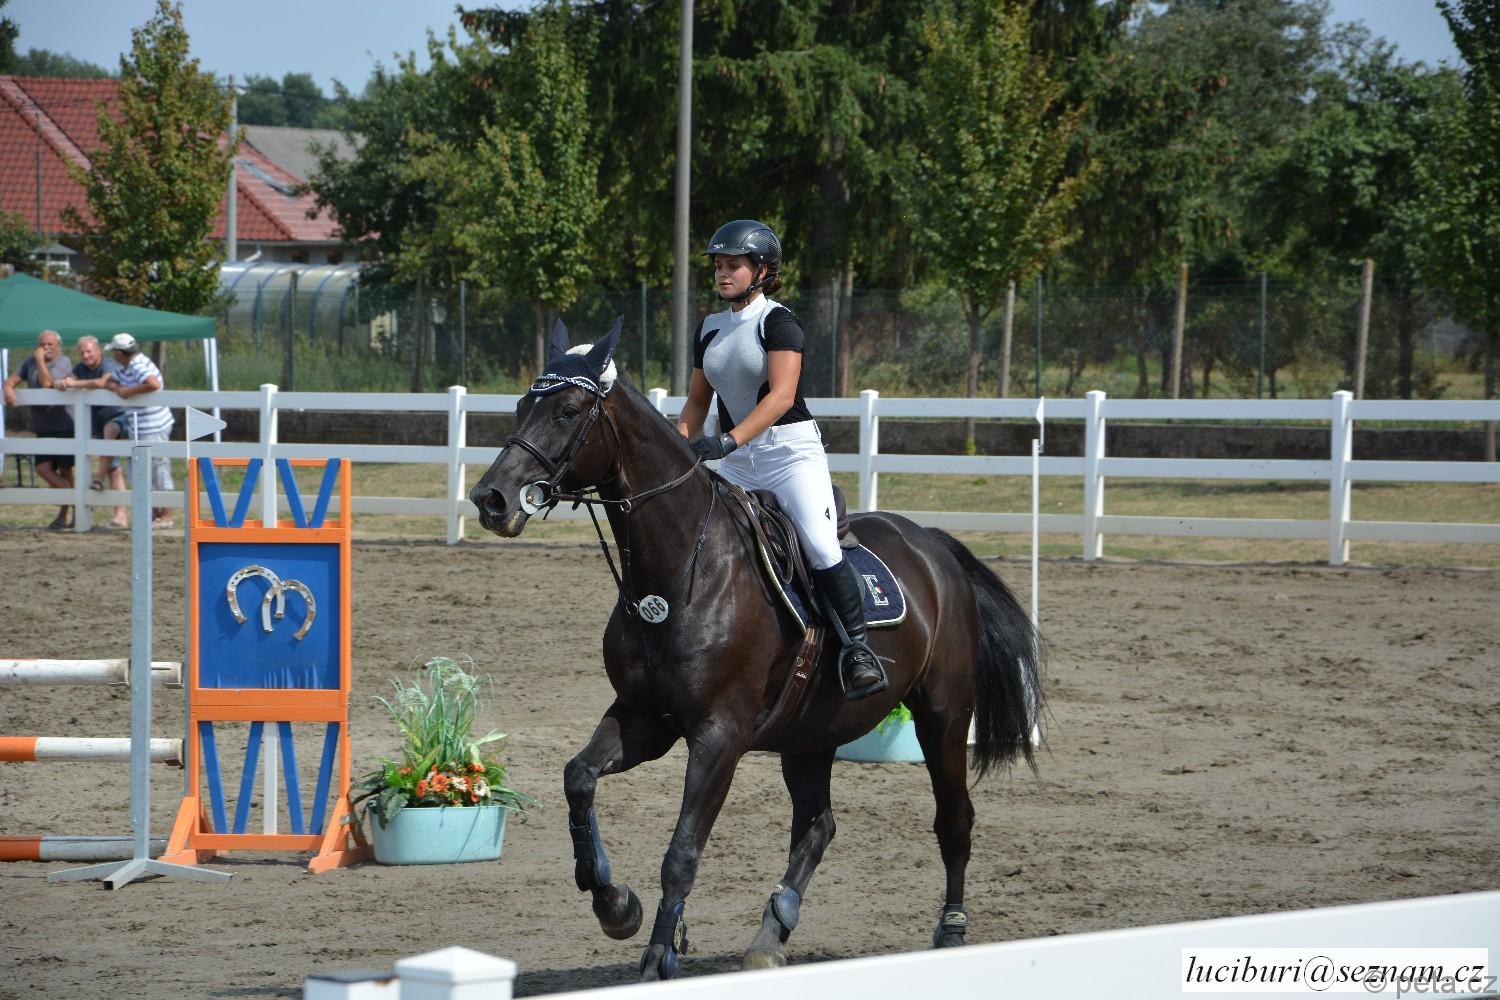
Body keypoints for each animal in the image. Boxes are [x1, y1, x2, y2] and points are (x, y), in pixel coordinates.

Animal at [469, 318, 1042, 980]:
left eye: (566, 410)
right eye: (521, 406)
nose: (491, 500)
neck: (681, 572)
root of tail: (933, 544)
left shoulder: (721, 734)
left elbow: (682, 850)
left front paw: (657, 957)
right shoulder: (645, 718)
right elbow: (578, 778)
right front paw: (614, 903)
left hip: (943, 715)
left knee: (953, 819)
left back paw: (950, 930)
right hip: (810, 731)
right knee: (817, 825)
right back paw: (772, 931)